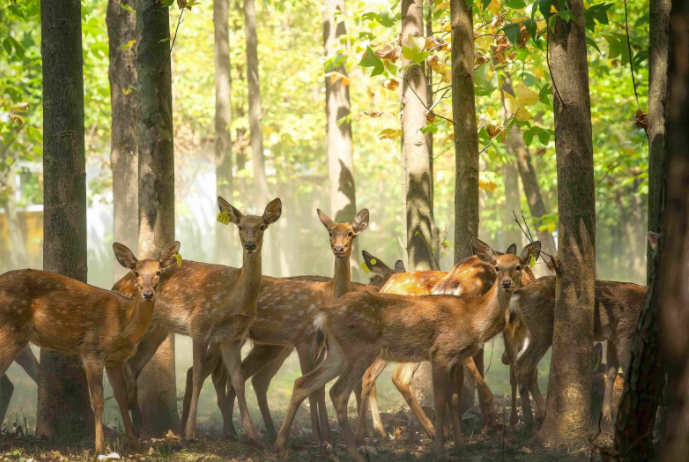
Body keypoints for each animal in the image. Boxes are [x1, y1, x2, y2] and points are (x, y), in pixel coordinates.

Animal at [0, 242, 180, 454]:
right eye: (136, 273)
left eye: (158, 272)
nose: (148, 294)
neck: (123, 322)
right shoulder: (92, 350)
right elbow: (98, 400)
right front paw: (100, 448)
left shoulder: (114, 359)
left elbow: (121, 397)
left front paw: (135, 444)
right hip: (11, 330)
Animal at [276, 240, 544, 460]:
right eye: (496, 267)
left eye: (518, 266)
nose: (507, 283)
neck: (473, 316)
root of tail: (324, 314)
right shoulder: (441, 353)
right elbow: (440, 399)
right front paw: (439, 448)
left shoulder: (455, 357)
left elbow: (454, 399)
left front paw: (461, 447)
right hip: (359, 351)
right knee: (341, 391)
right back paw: (356, 452)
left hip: (337, 353)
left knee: (304, 382)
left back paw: (283, 444)